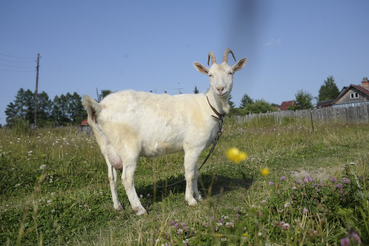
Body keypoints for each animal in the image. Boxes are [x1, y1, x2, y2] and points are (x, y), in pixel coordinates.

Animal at [82, 48, 246, 215]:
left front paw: (198, 196)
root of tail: (100, 107)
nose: (220, 89)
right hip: (128, 146)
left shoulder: (195, 148)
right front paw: (191, 200)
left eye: (230, 72)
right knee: (126, 178)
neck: (208, 107)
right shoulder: (193, 146)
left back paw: (117, 206)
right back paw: (139, 209)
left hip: (106, 146)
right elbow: (190, 174)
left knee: (112, 177)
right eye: (210, 75)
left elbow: (195, 173)